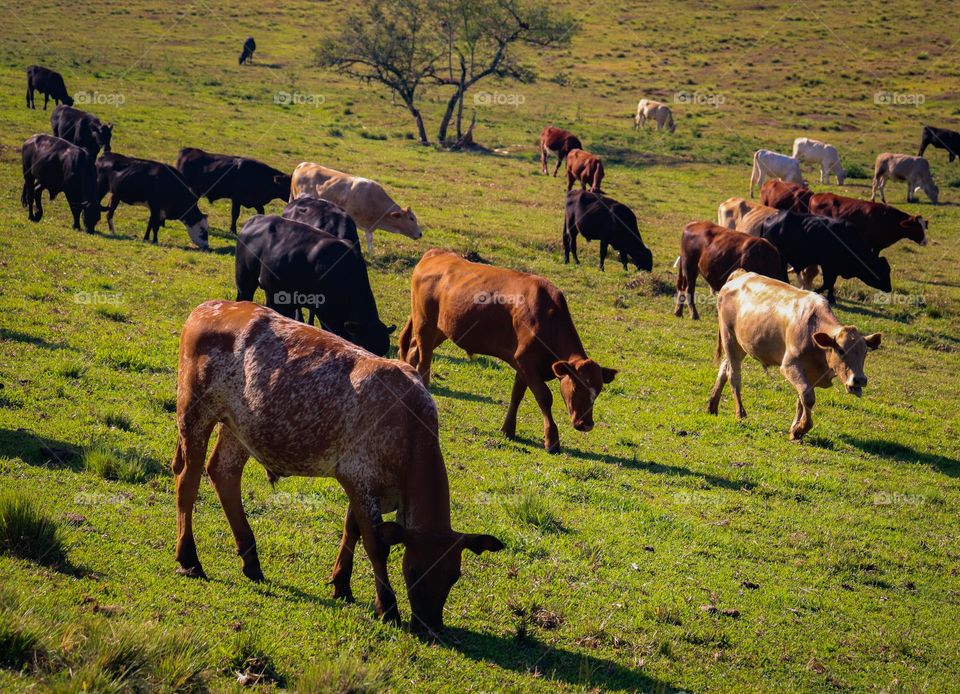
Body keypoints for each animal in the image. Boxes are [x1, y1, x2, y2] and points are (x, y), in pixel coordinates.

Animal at [171, 300, 503, 636]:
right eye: (413, 570)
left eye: (454, 575)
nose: (430, 628)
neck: (410, 426)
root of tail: (210, 307)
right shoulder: (359, 478)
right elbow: (375, 544)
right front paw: (387, 607)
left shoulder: (364, 485)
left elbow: (351, 530)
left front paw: (342, 584)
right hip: (194, 412)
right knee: (188, 482)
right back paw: (189, 558)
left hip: (239, 427)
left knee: (223, 473)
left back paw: (251, 561)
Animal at [290, 163, 422, 254]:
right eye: (411, 219)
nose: (420, 234)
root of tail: (305, 164)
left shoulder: (369, 226)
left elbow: (369, 238)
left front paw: (371, 253)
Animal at [398, 249, 617, 454]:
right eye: (577, 386)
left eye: (598, 391)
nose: (586, 424)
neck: (547, 317)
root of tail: (436, 253)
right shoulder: (526, 362)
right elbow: (544, 397)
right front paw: (552, 440)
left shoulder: (523, 365)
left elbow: (516, 395)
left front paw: (508, 430)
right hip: (425, 325)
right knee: (424, 364)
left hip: (441, 329)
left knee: (413, 352)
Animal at [708, 270, 881, 440]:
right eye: (841, 350)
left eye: (865, 352)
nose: (859, 379)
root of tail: (740, 274)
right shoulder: (790, 366)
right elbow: (808, 397)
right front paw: (801, 428)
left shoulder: (810, 374)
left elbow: (801, 399)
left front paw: (795, 429)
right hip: (729, 338)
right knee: (734, 375)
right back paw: (740, 413)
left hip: (740, 345)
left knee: (724, 368)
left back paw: (712, 406)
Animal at [757, 210, 891, 304]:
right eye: (882, 271)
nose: (889, 288)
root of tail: (770, 218)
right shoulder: (828, 266)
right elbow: (828, 283)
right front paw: (815, 293)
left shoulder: (834, 269)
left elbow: (830, 284)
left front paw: (831, 298)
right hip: (781, 256)